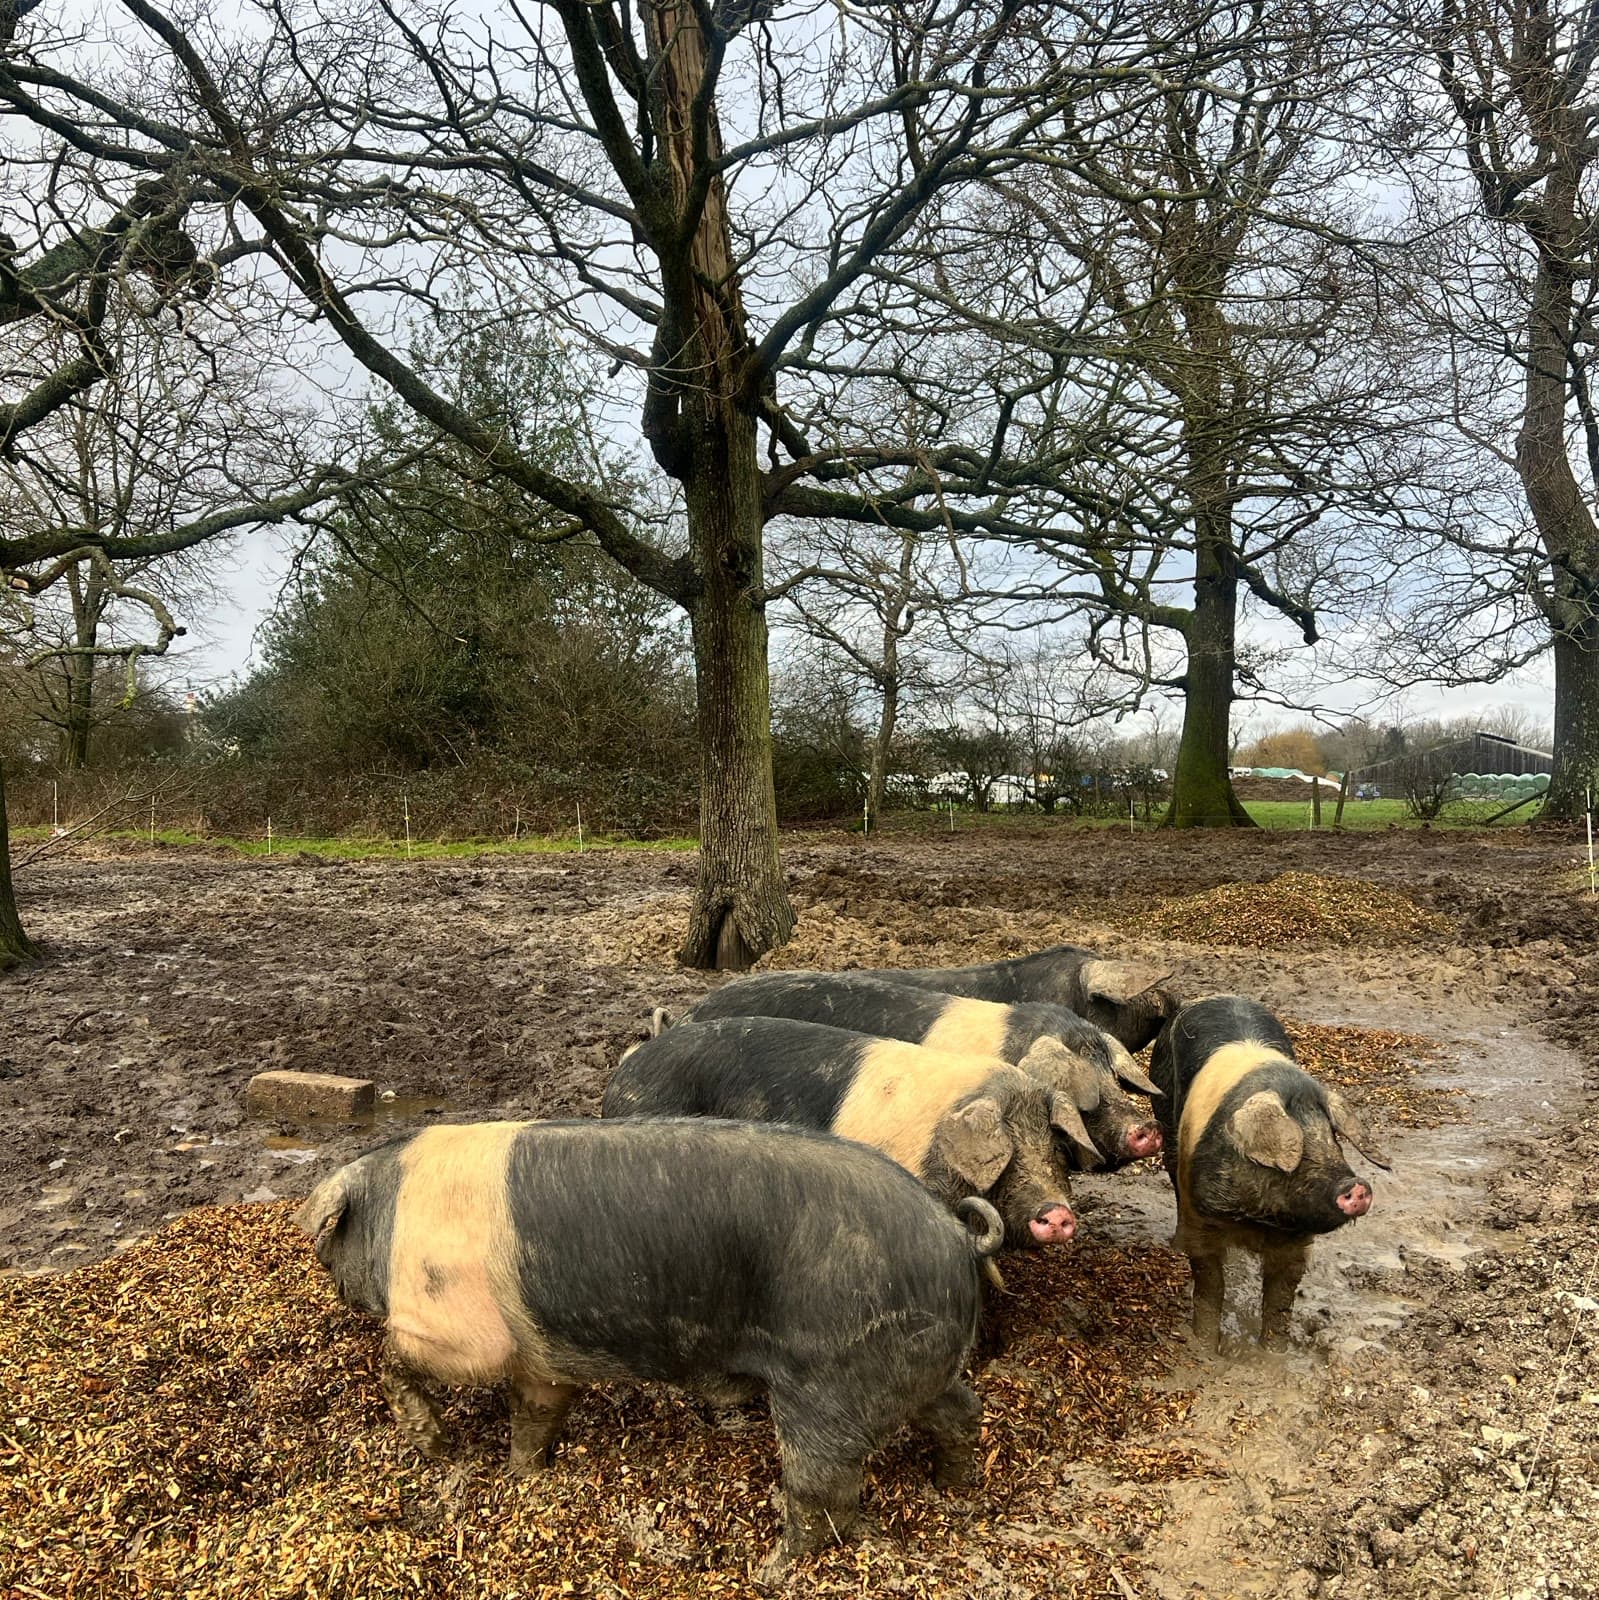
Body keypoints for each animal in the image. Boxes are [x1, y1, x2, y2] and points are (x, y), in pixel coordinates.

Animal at [297, 1117, 1003, 1577]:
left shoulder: (460, 1328)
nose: (337, 1283)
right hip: (920, 1365)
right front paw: (520, 1477)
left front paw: (437, 1448)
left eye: (331, 1246)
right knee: (961, 1412)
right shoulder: (543, 1354)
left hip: (829, 1381)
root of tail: (956, 1237)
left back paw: (767, 1571)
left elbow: (397, 1359)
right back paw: (950, 1486)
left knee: (823, 1489)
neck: (390, 1221)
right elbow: (536, 1413)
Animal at [1149, 995, 1391, 1352]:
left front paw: (1273, 1354)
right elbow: (1210, 1287)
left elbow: (1280, 1300)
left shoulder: (1295, 1243)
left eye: (1333, 1139)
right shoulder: (1201, 1214)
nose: (1357, 1185)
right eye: (1297, 1146)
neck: (1259, 1217)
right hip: (1165, 1120)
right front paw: (1206, 1347)